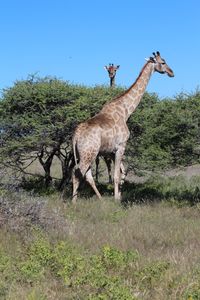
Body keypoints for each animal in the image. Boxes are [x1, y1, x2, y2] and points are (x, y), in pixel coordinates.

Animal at [72, 51, 173, 203]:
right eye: (163, 62)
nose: (171, 72)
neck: (125, 111)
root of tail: (75, 136)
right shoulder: (121, 146)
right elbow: (116, 176)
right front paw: (116, 200)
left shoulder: (111, 152)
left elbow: (122, 173)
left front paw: (119, 196)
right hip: (88, 153)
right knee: (78, 173)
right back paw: (73, 203)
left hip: (82, 155)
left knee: (85, 174)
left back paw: (100, 200)